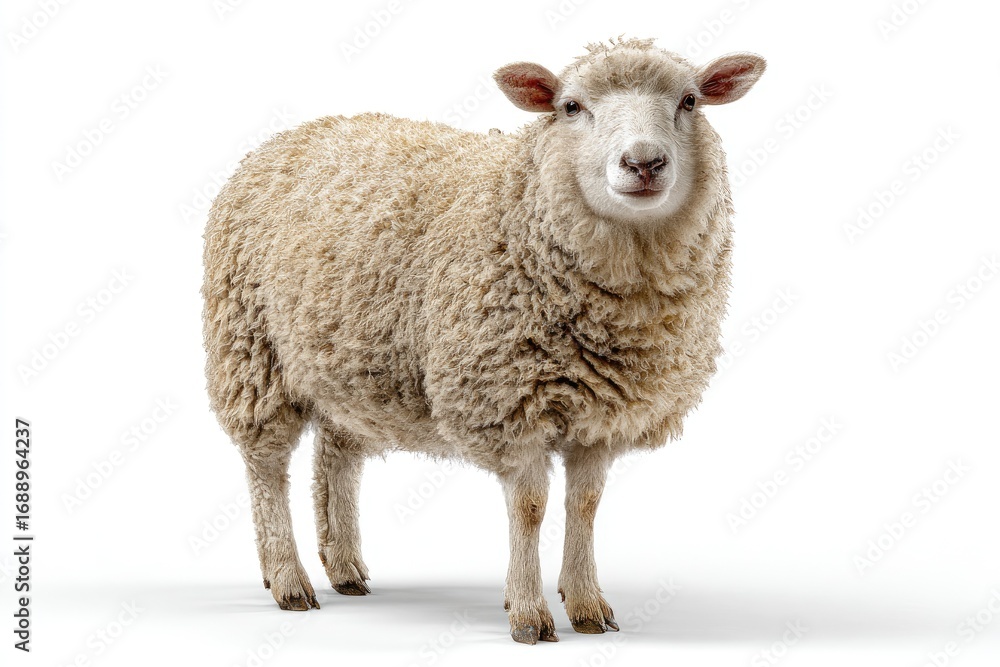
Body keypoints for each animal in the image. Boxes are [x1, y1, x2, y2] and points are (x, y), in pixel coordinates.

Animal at [202, 37, 765, 644]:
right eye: (571, 107)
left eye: (690, 101)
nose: (643, 162)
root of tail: (292, 135)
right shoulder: (508, 401)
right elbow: (531, 508)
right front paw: (529, 614)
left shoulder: (601, 416)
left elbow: (585, 505)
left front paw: (587, 605)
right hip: (251, 349)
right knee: (266, 466)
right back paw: (288, 580)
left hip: (349, 360)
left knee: (337, 455)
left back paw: (346, 567)